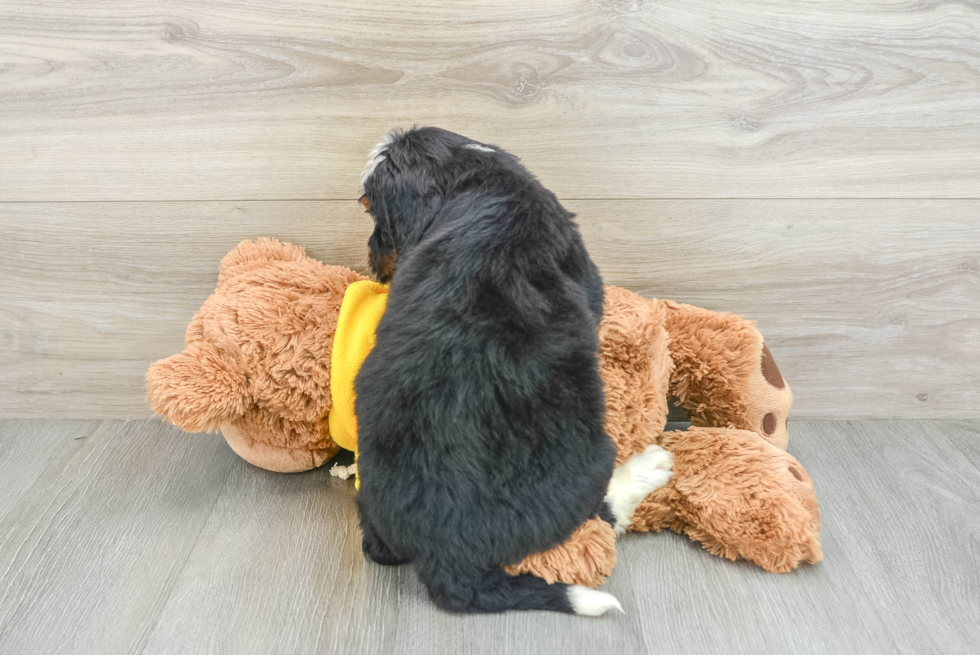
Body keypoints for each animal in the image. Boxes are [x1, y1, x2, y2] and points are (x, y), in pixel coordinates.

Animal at [356, 128, 668, 616]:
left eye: (368, 206)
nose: (373, 259)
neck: (473, 174)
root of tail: (447, 555)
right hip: (592, 460)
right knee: (600, 515)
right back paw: (647, 469)